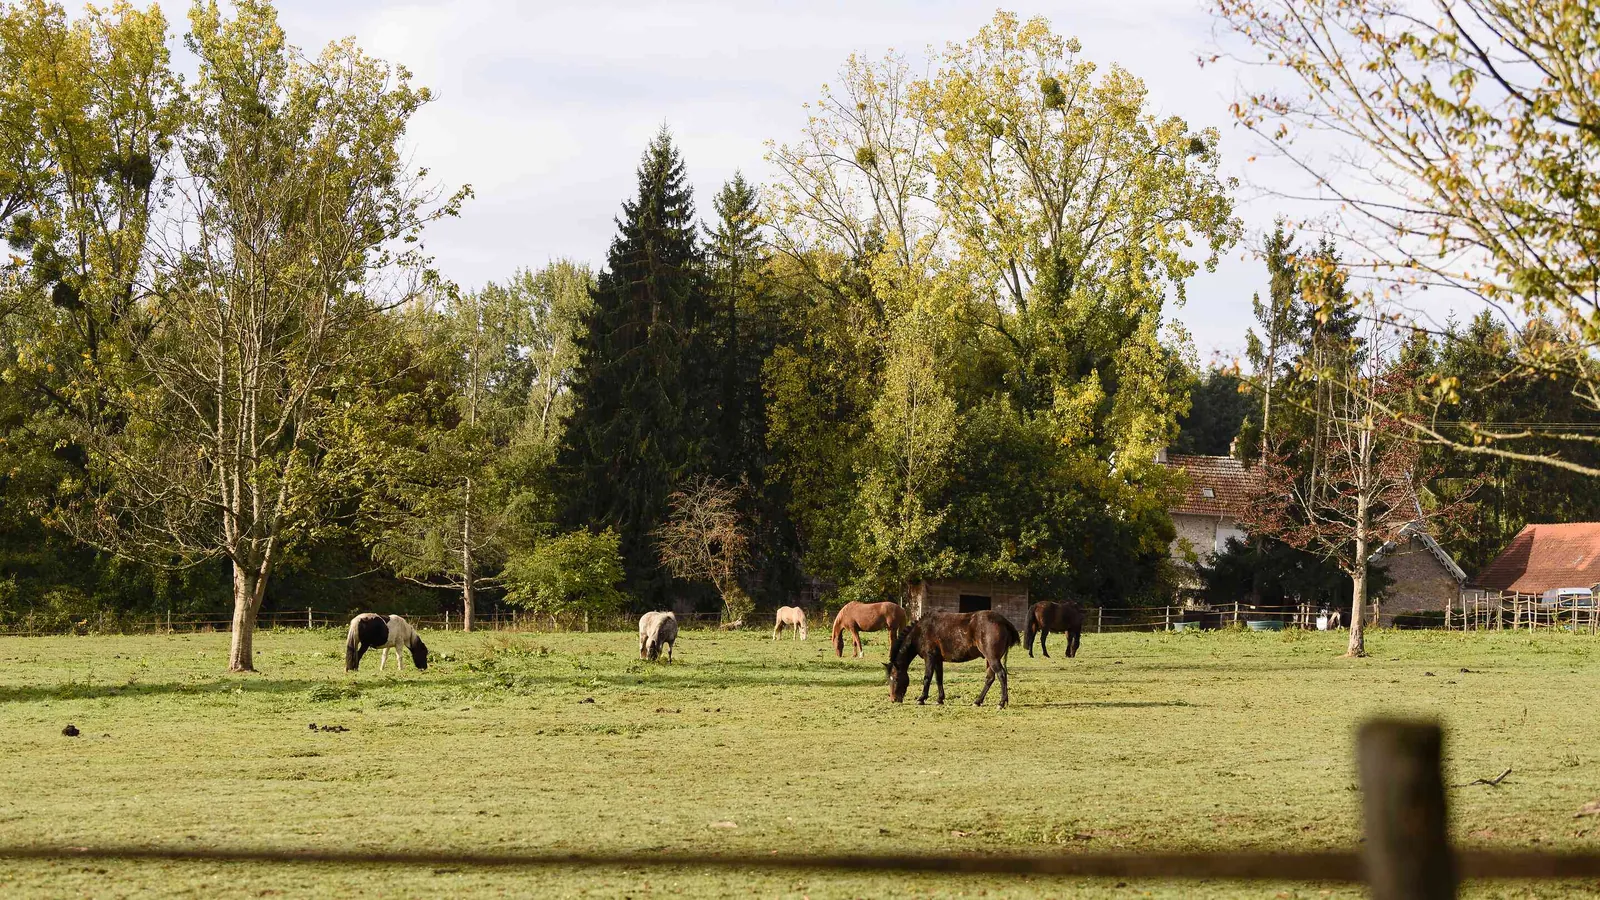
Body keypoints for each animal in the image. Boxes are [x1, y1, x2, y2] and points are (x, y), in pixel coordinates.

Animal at [885, 611, 1020, 709]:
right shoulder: (938, 660)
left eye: (895, 678)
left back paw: (1001, 703)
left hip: (992, 658)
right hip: (990, 660)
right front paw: (940, 699)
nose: (893, 699)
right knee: (990, 678)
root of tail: (1003, 621)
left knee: (1001, 675)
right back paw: (978, 701)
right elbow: (938, 678)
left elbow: (927, 678)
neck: (920, 631)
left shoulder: (930, 658)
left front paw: (921, 698)